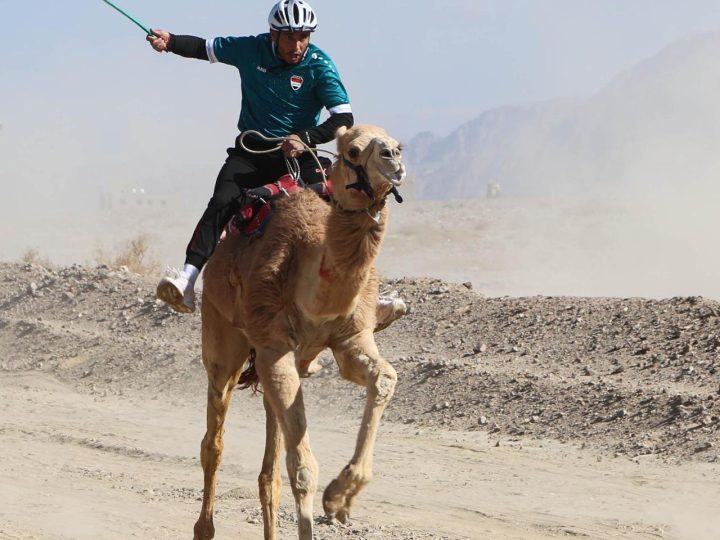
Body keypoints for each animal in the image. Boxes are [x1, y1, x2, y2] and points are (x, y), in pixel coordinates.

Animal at [194, 124, 404, 536]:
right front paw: (330, 498)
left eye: (398, 144)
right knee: (214, 440)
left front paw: (341, 496)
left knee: (269, 472)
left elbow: (384, 377)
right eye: (352, 151)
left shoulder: (350, 338)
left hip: (286, 365)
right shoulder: (274, 346)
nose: (394, 160)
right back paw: (203, 529)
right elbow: (304, 469)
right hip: (223, 336)